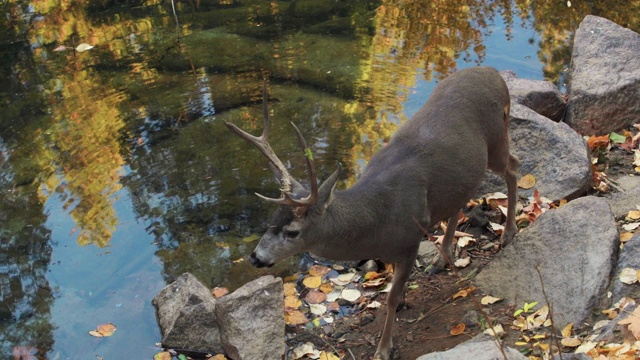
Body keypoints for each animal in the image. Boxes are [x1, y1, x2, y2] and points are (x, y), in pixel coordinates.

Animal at [225, 67, 520, 360]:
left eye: (292, 232)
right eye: (270, 221)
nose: (255, 257)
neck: (378, 220)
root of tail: (494, 74)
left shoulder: (411, 239)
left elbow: (389, 297)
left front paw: (384, 348)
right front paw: (403, 301)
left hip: (497, 138)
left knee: (513, 167)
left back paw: (508, 234)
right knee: (462, 198)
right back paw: (441, 259)